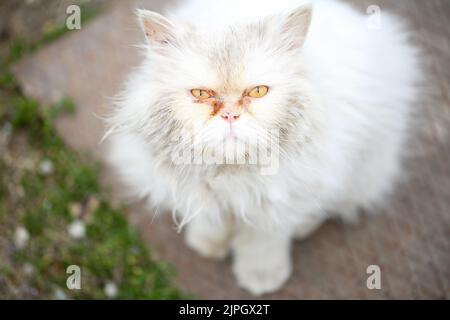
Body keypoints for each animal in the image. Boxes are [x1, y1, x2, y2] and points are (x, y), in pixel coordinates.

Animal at [108, 0, 422, 296]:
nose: (230, 116)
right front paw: (208, 245)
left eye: (258, 92)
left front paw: (262, 279)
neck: (231, 175)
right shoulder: (200, 190)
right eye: (201, 94)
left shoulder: (277, 202)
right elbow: (210, 218)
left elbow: (262, 245)